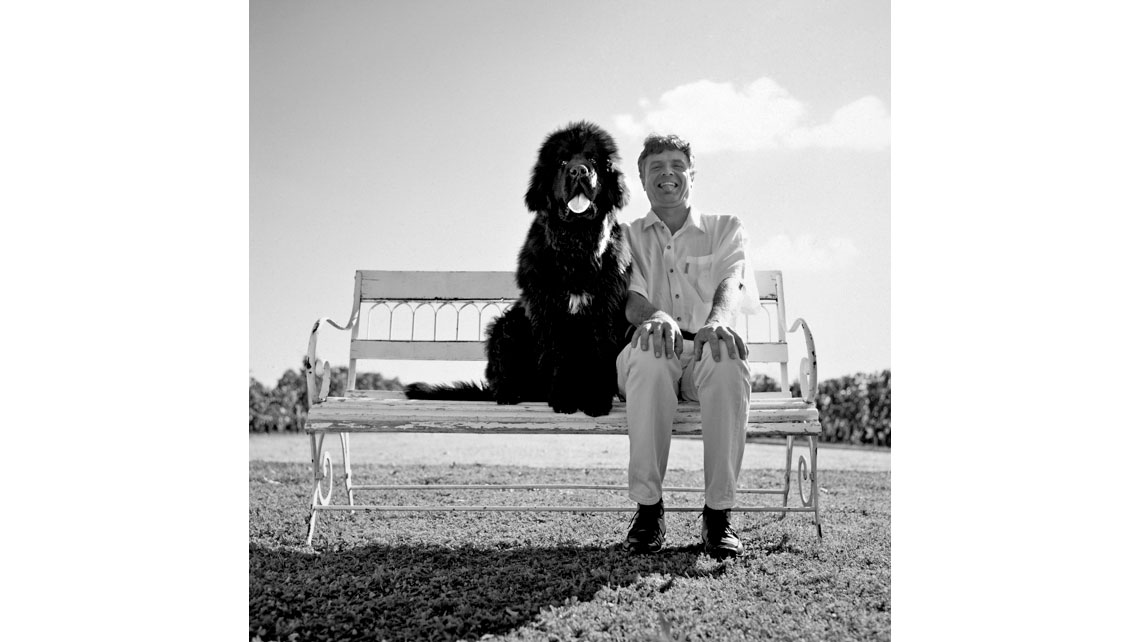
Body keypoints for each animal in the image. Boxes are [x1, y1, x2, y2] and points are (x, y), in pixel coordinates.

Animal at [403, 122, 633, 417]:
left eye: (593, 159)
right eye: (562, 162)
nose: (578, 170)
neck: (575, 244)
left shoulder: (605, 310)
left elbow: (600, 355)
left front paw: (595, 401)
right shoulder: (546, 310)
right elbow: (558, 356)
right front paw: (564, 399)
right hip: (508, 326)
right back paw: (511, 394)